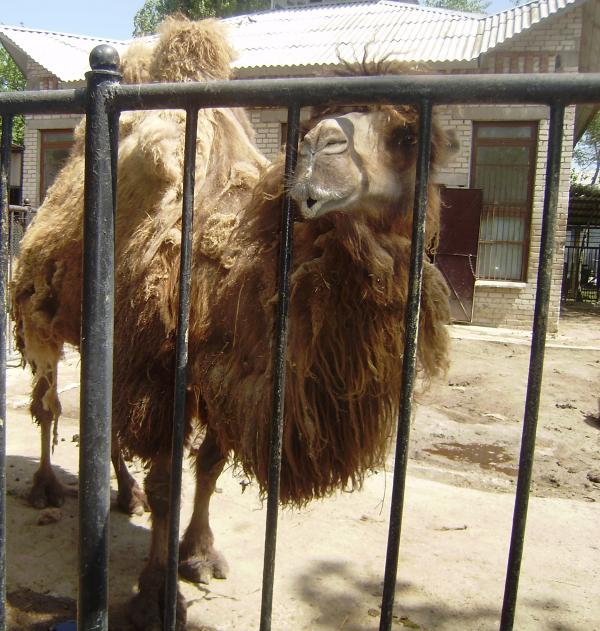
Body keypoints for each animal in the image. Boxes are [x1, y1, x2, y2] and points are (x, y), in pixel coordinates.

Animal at [11, 17, 452, 629]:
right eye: (311, 126)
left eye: (407, 136)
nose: (322, 146)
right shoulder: (159, 371)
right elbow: (168, 481)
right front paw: (155, 593)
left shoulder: (218, 375)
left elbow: (210, 468)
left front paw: (198, 554)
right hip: (39, 316)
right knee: (50, 404)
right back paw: (48, 488)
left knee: (106, 425)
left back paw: (123, 495)